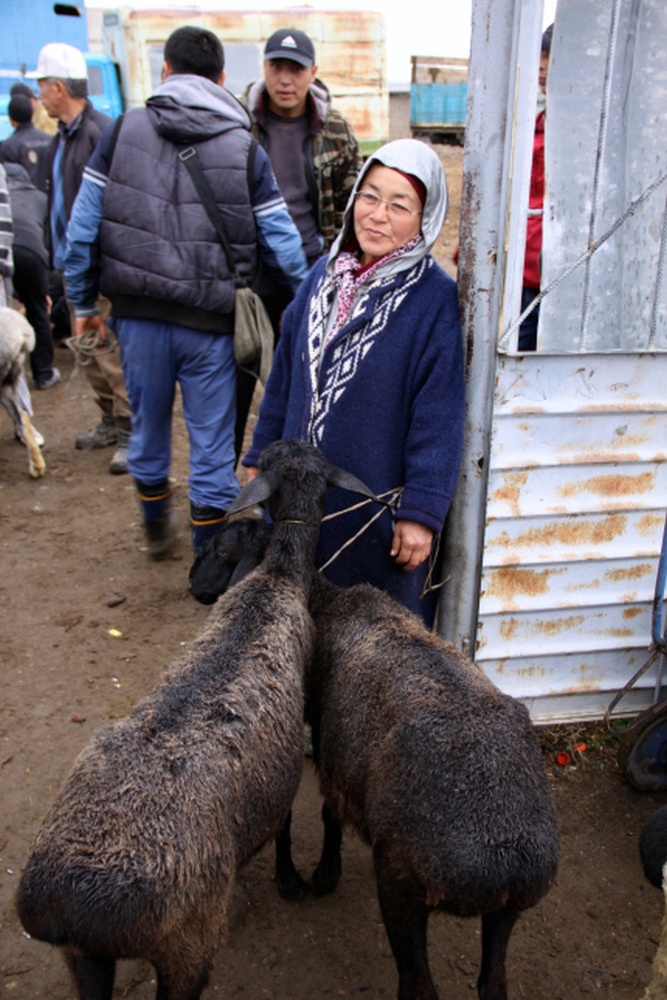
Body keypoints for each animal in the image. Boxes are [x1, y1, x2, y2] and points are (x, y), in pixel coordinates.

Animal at [15, 444, 378, 1000]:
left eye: (223, 551)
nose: (192, 585)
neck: (274, 579)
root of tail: (63, 907)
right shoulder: (280, 771)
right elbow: (283, 827)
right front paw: (290, 882)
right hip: (188, 941)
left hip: (83, 957)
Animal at [192, 492, 560, 1000]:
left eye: (221, 549)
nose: (192, 583)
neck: (325, 599)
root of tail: (506, 860)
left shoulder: (326, 744)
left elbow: (324, 811)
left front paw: (319, 875)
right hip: (505, 913)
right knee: (493, 982)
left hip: (403, 886)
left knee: (419, 984)